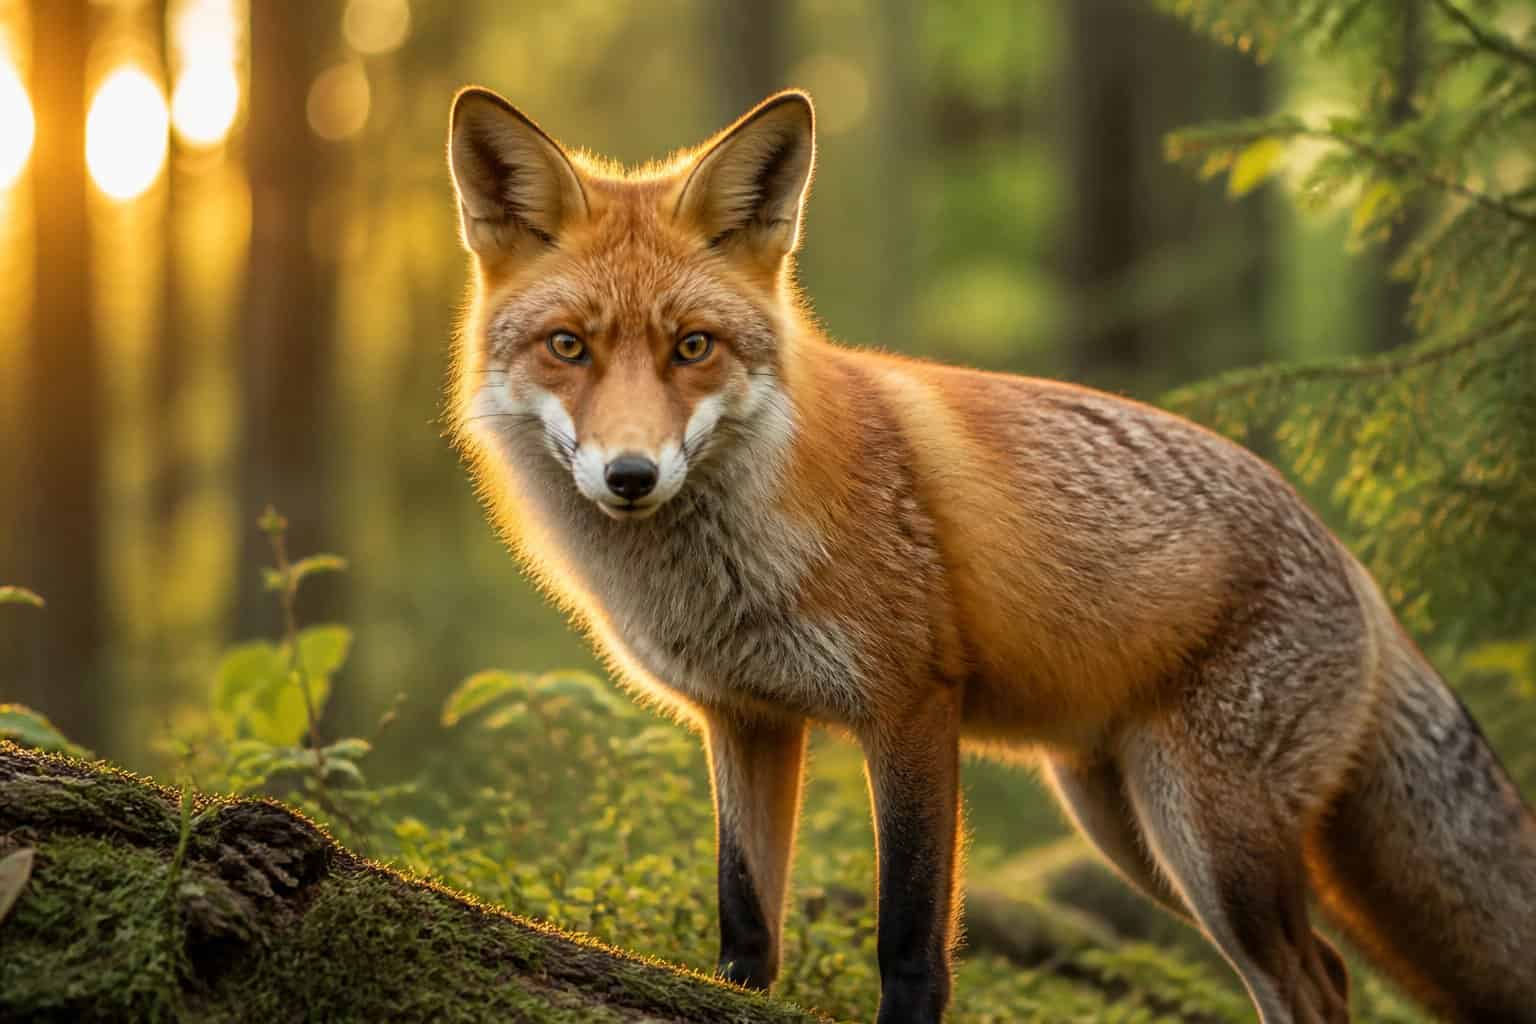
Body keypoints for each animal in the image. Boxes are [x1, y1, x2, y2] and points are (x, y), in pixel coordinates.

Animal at [444, 86, 1536, 1024]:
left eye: (694, 347)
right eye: (569, 347)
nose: (630, 475)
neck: (723, 570)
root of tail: (1346, 551)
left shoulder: (913, 706)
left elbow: (910, 938)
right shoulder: (747, 720)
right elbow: (746, 919)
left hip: (1207, 836)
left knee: (1310, 978)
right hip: (1130, 831)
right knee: (1330, 971)